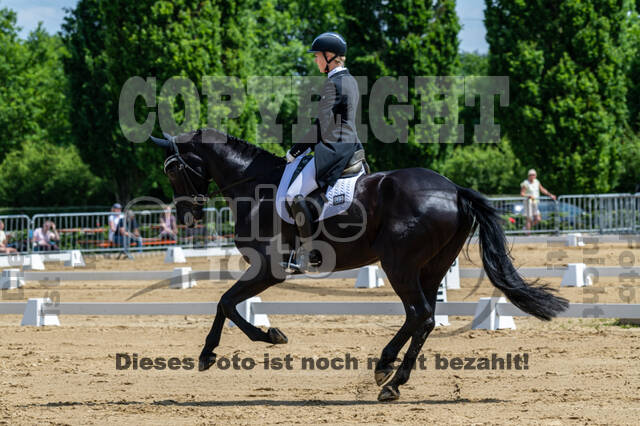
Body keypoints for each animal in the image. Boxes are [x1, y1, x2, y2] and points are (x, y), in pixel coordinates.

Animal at [150, 128, 568, 402]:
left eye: (171, 169)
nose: (186, 216)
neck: (257, 189)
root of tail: (454, 190)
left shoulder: (269, 268)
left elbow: (226, 302)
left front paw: (239, 345)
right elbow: (228, 303)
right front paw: (242, 343)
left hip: (399, 265)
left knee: (421, 314)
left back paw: (390, 377)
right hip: (431, 267)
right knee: (423, 317)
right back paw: (388, 373)